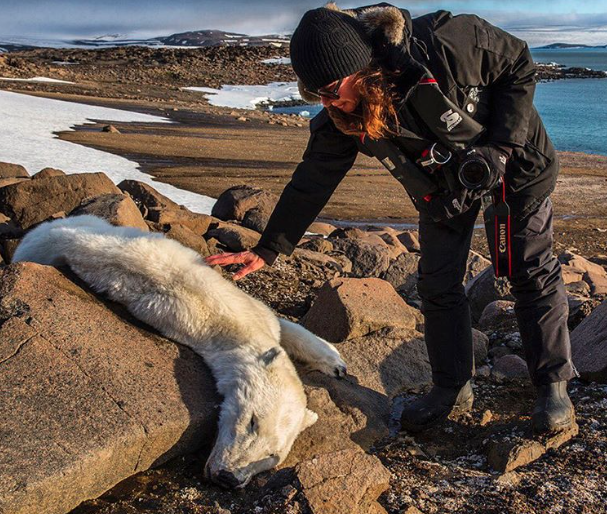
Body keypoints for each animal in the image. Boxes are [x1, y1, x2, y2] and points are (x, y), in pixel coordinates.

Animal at [13, 214, 346, 486]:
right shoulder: (190, 306)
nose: (228, 478)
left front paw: (337, 364)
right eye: (253, 421)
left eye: (273, 455)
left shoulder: (254, 313)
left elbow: (284, 326)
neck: (234, 323)